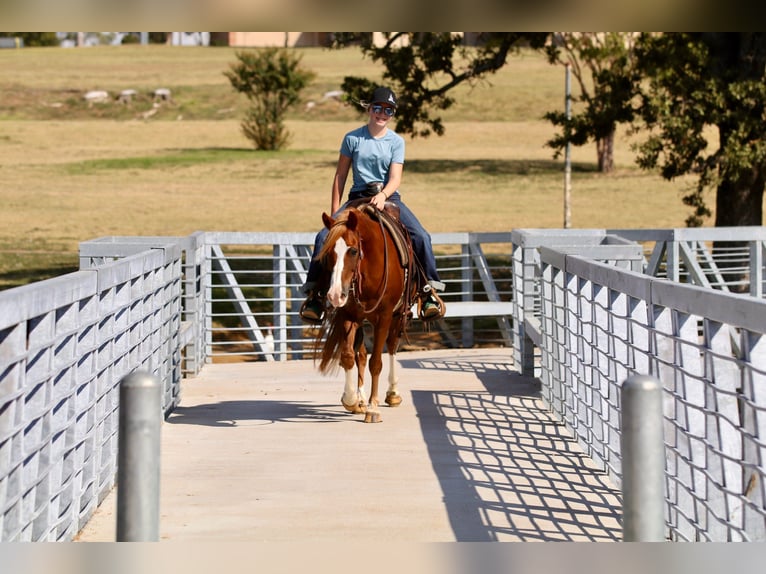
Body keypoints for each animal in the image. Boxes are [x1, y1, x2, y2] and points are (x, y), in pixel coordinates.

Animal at [315, 203, 417, 422]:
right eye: (328, 253)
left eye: (353, 251)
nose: (335, 294)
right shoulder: (349, 314)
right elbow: (348, 356)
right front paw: (352, 399)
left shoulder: (384, 316)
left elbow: (376, 362)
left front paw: (373, 408)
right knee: (360, 355)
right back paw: (361, 399)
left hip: (397, 316)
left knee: (392, 346)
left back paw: (392, 393)